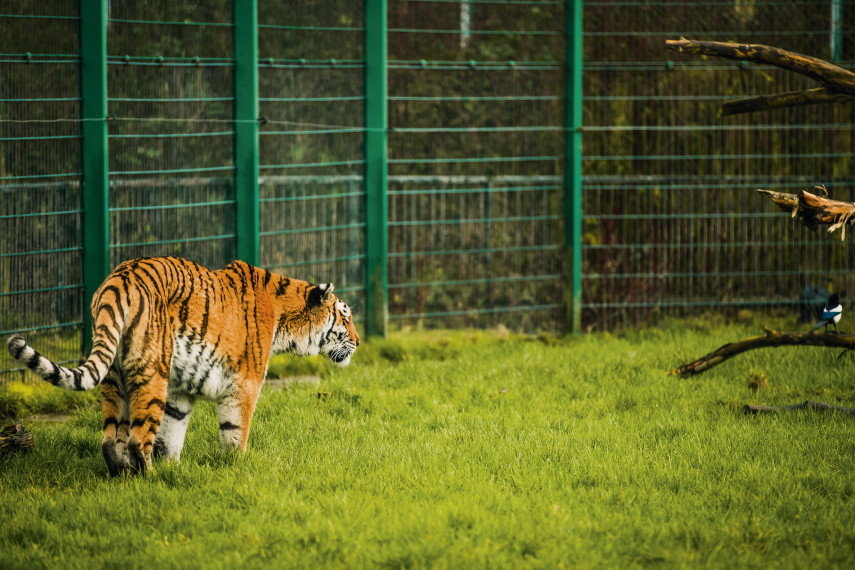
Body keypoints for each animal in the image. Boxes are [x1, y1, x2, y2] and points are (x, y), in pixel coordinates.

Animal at [4, 255, 358, 472]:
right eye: (345, 317)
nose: (357, 340)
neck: (285, 321)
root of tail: (117, 281)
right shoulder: (245, 382)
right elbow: (236, 430)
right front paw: (237, 464)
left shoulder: (180, 391)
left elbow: (172, 433)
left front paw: (174, 469)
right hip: (152, 372)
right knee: (137, 438)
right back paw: (148, 477)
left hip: (114, 377)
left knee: (110, 439)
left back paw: (125, 477)